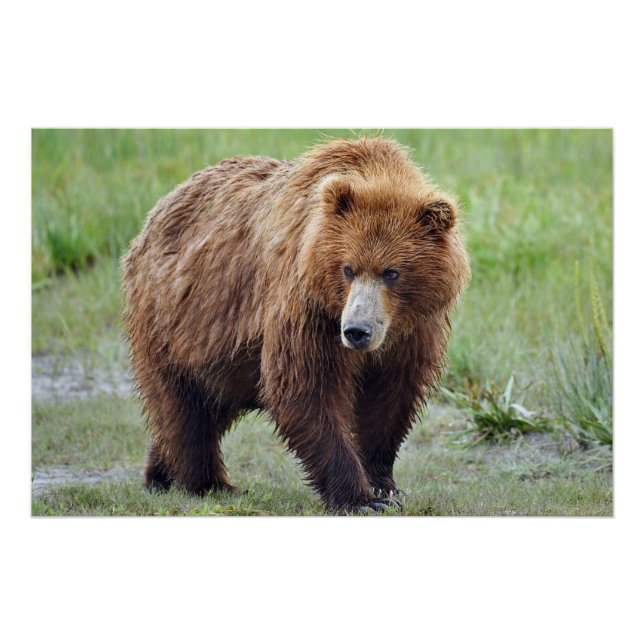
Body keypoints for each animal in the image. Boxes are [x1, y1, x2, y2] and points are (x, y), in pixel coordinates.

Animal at [122, 136, 470, 513]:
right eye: (348, 268)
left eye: (392, 272)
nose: (356, 331)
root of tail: (155, 213)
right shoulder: (308, 307)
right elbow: (306, 388)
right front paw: (358, 498)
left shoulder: (413, 328)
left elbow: (391, 398)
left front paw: (384, 486)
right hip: (174, 321)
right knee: (183, 409)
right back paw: (207, 483)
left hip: (224, 357)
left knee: (205, 405)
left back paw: (159, 473)